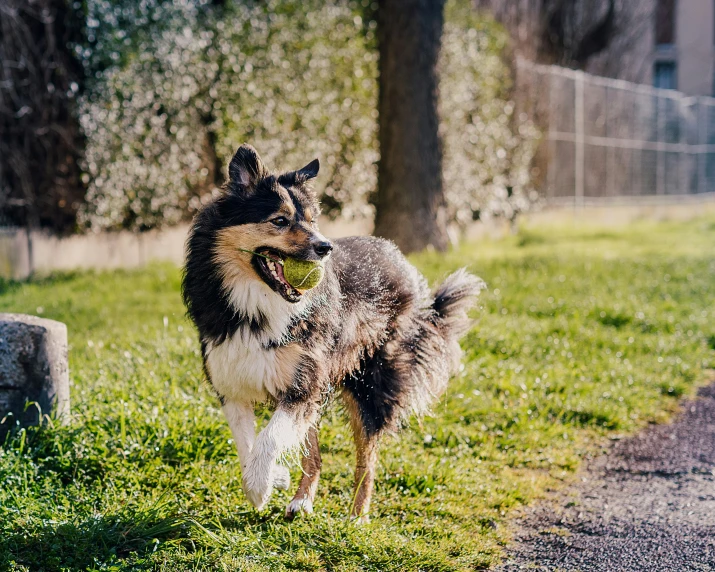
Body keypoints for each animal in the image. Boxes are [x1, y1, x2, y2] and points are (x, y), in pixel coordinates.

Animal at [182, 145, 484, 520]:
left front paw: (260, 484)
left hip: (369, 383)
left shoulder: (304, 382)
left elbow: (270, 438)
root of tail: (400, 259)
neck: (254, 301)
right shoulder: (232, 381)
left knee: (367, 456)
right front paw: (269, 479)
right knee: (314, 451)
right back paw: (301, 500)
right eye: (279, 220)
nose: (325, 247)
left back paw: (357, 515)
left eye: (313, 220)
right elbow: (247, 443)